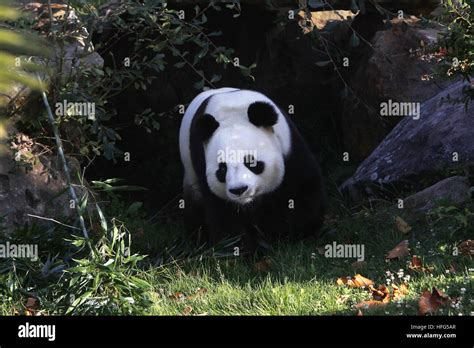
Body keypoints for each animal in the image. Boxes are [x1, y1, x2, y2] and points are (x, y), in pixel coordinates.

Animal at [179, 87, 326, 253]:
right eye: (222, 169)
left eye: (251, 162)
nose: (239, 189)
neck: (232, 114)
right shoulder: (201, 161)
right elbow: (224, 215)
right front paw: (245, 249)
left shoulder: (290, 148)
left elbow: (302, 193)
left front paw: (283, 234)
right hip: (191, 176)